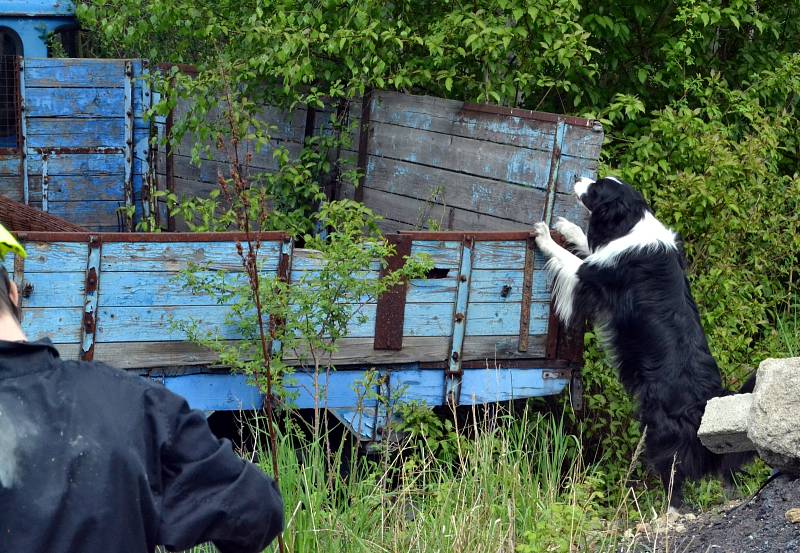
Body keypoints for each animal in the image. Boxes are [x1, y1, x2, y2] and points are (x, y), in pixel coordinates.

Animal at [536, 175, 752, 512]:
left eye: (596, 188)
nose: (578, 178)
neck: (633, 220)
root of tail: (706, 404)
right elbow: (585, 241)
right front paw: (566, 226)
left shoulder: (590, 277)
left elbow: (570, 259)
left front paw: (544, 234)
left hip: (660, 433)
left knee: (675, 480)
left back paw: (668, 512)